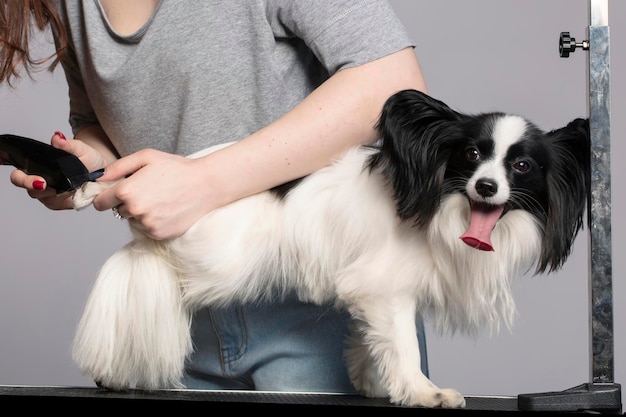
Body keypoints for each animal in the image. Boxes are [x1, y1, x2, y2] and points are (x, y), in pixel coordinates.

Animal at [70, 90, 588, 406]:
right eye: (472, 155)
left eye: (521, 166)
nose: (485, 187)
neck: (437, 203)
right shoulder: (387, 292)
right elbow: (402, 346)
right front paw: (422, 392)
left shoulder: (366, 291)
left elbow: (370, 342)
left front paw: (375, 385)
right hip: (215, 261)